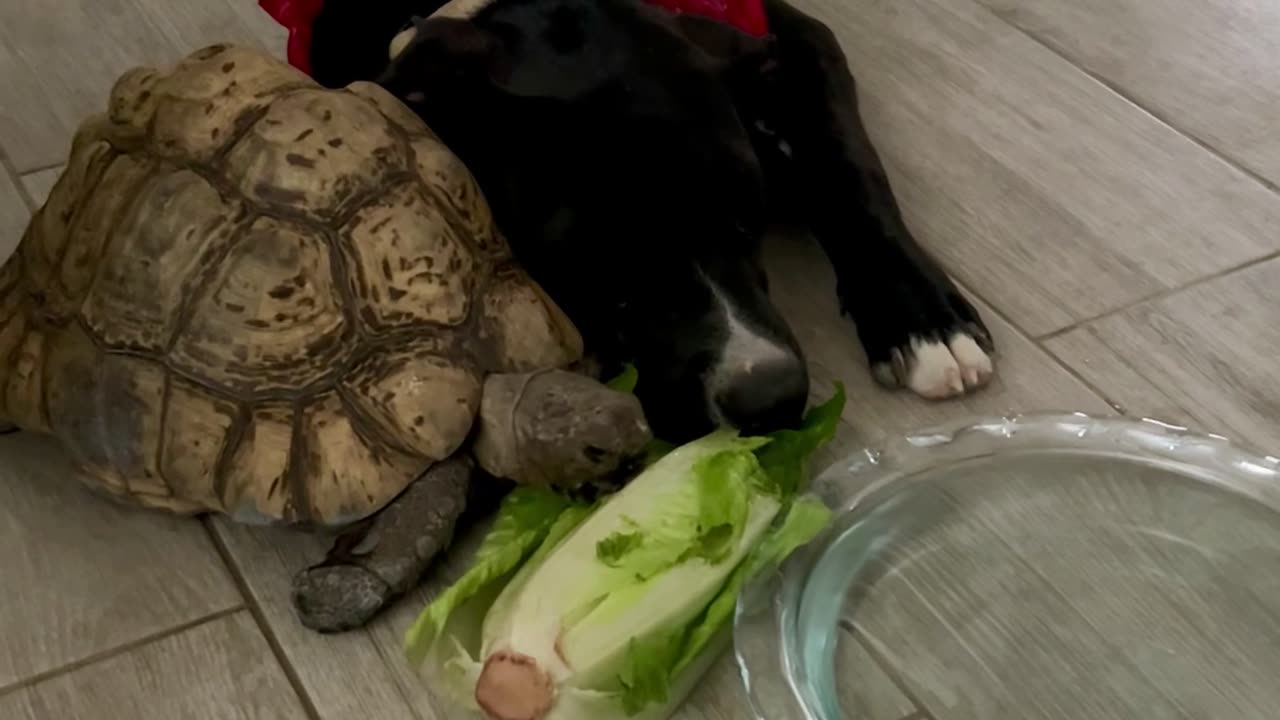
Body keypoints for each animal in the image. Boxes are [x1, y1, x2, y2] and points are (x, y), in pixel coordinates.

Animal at [304, 0, 993, 440]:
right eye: (592, 254)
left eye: (749, 211)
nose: (768, 397)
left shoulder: (795, 40)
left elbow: (848, 164)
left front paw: (922, 320)